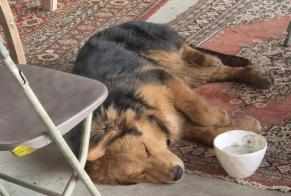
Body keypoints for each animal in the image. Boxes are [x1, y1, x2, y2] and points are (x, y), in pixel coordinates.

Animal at [72, 20, 272, 185]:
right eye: (139, 175)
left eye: (145, 149)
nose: (177, 173)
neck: (131, 104)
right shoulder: (172, 121)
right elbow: (206, 133)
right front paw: (245, 126)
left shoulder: (161, 77)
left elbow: (199, 110)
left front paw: (222, 117)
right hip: (179, 70)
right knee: (208, 73)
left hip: (161, 51)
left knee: (193, 53)